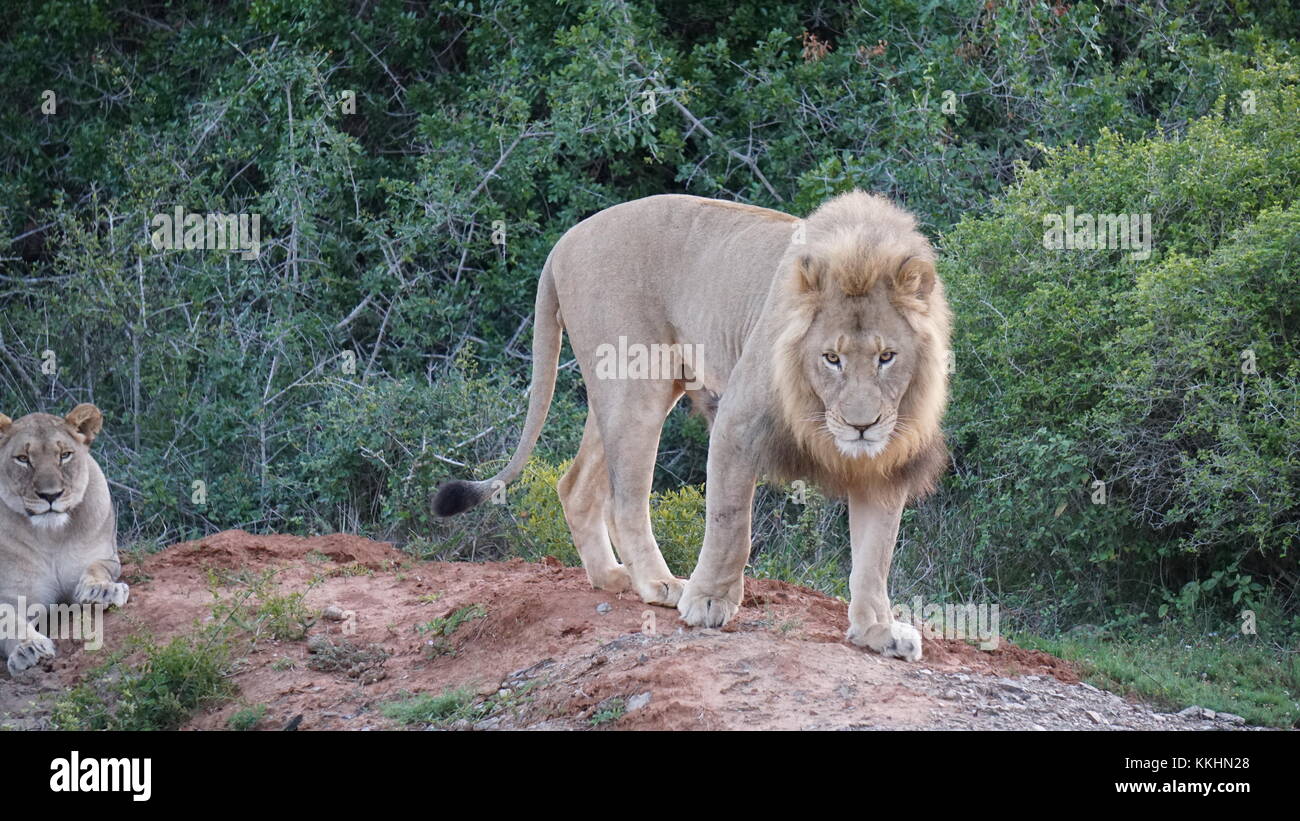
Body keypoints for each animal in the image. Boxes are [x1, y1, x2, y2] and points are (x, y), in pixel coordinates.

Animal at [0, 404, 128, 675]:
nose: (51, 495)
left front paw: (102, 591)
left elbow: (97, 568)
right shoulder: (11, 594)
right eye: (23, 459)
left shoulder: (106, 557)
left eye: (65, 455)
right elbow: (8, 620)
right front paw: (29, 649)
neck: (52, 536)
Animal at [434, 191, 951, 661]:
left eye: (887, 357)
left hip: (628, 391)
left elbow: (875, 554)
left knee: (575, 484)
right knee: (626, 497)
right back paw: (658, 584)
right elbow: (730, 523)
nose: (862, 426)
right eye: (831, 358)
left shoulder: (888, 460)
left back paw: (612, 577)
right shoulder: (738, 422)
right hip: (637, 386)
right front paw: (708, 602)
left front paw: (878, 631)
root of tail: (565, 241)